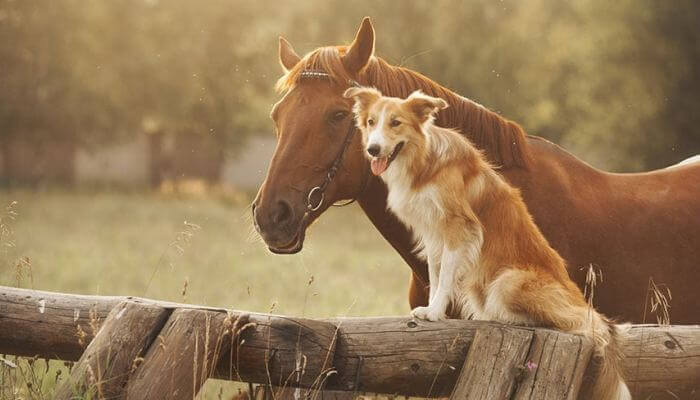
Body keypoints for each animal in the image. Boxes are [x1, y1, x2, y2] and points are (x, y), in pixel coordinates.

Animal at [346, 87, 636, 400]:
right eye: (371, 122)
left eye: (396, 123)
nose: (373, 149)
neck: (424, 162)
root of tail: (580, 299)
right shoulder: (433, 234)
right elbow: (435, 275)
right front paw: (432, 310)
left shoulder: (459, 229)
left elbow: (445, 277)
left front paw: (435, 313)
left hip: (509, 281)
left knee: (584, 324)